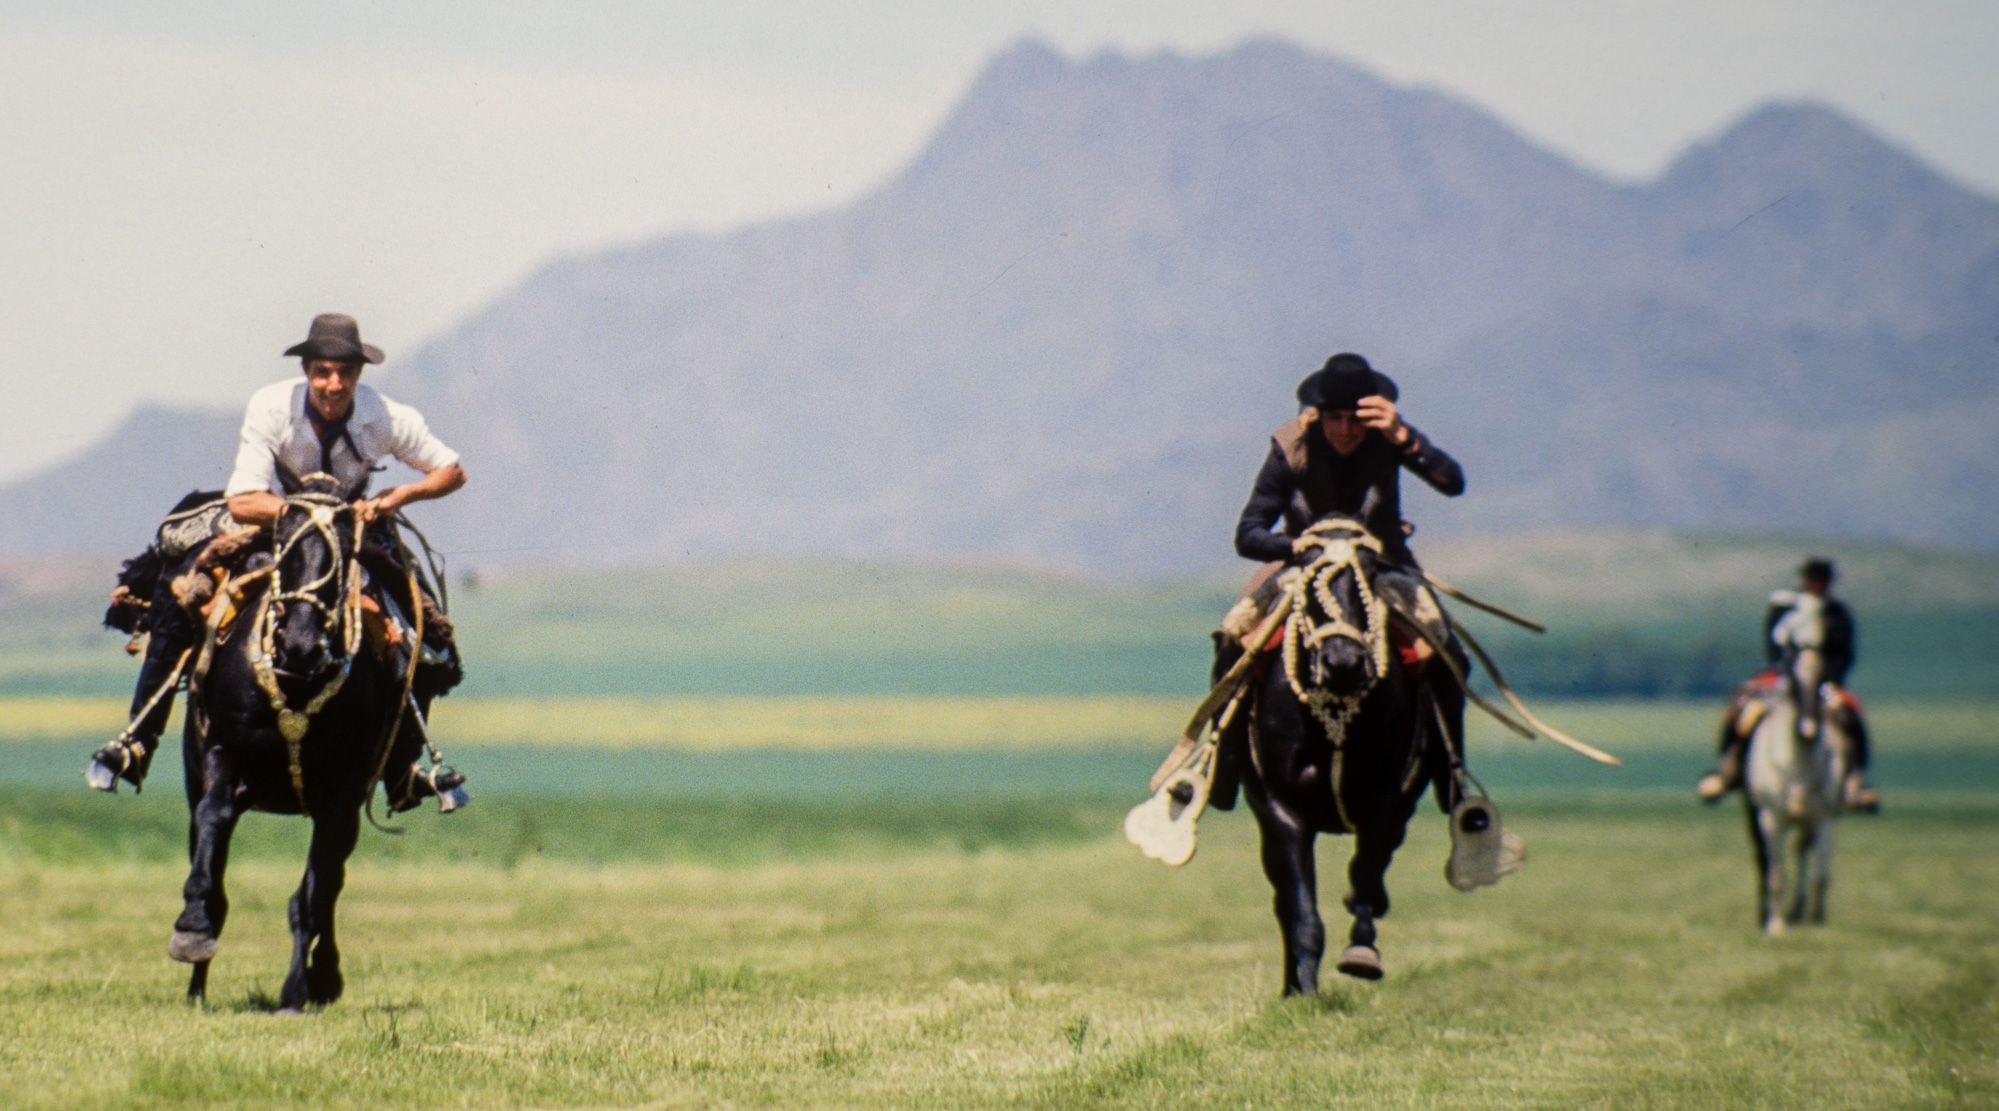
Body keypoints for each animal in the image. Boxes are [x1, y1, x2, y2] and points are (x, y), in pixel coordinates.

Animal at [169, 473, 419, 1011]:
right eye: (282, 539)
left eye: (348, 545)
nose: (300, 644)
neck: (298, 683)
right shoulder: (223, 752)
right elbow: (213, 820)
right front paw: (193, 929)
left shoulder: (341, 793)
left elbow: (313, 891)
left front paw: (298, 989)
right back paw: (198, 981)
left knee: (328, 882)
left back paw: (320, 977)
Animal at [1223, 515, 1463, 995]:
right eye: (1309, 577)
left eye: (1369, 577)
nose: (1343, 662)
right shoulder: (1282, 808)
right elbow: (1301, 909)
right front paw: (1305, 990)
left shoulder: (1385, 799)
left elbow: (1367, 871)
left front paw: (1361, 953)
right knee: (1283, 898)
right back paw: (1290, 987)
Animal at [1743, 595, 1847, 931]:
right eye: (1789, 656)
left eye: (1824, 670)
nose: (1809, 725)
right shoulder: (1771, 818)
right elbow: (1775, 874)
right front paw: (1775, 926)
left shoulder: (1825, 817)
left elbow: (1821, 874)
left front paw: (1818, 920)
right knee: (1767, 861)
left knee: (1803, 850)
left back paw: (1800, 909)